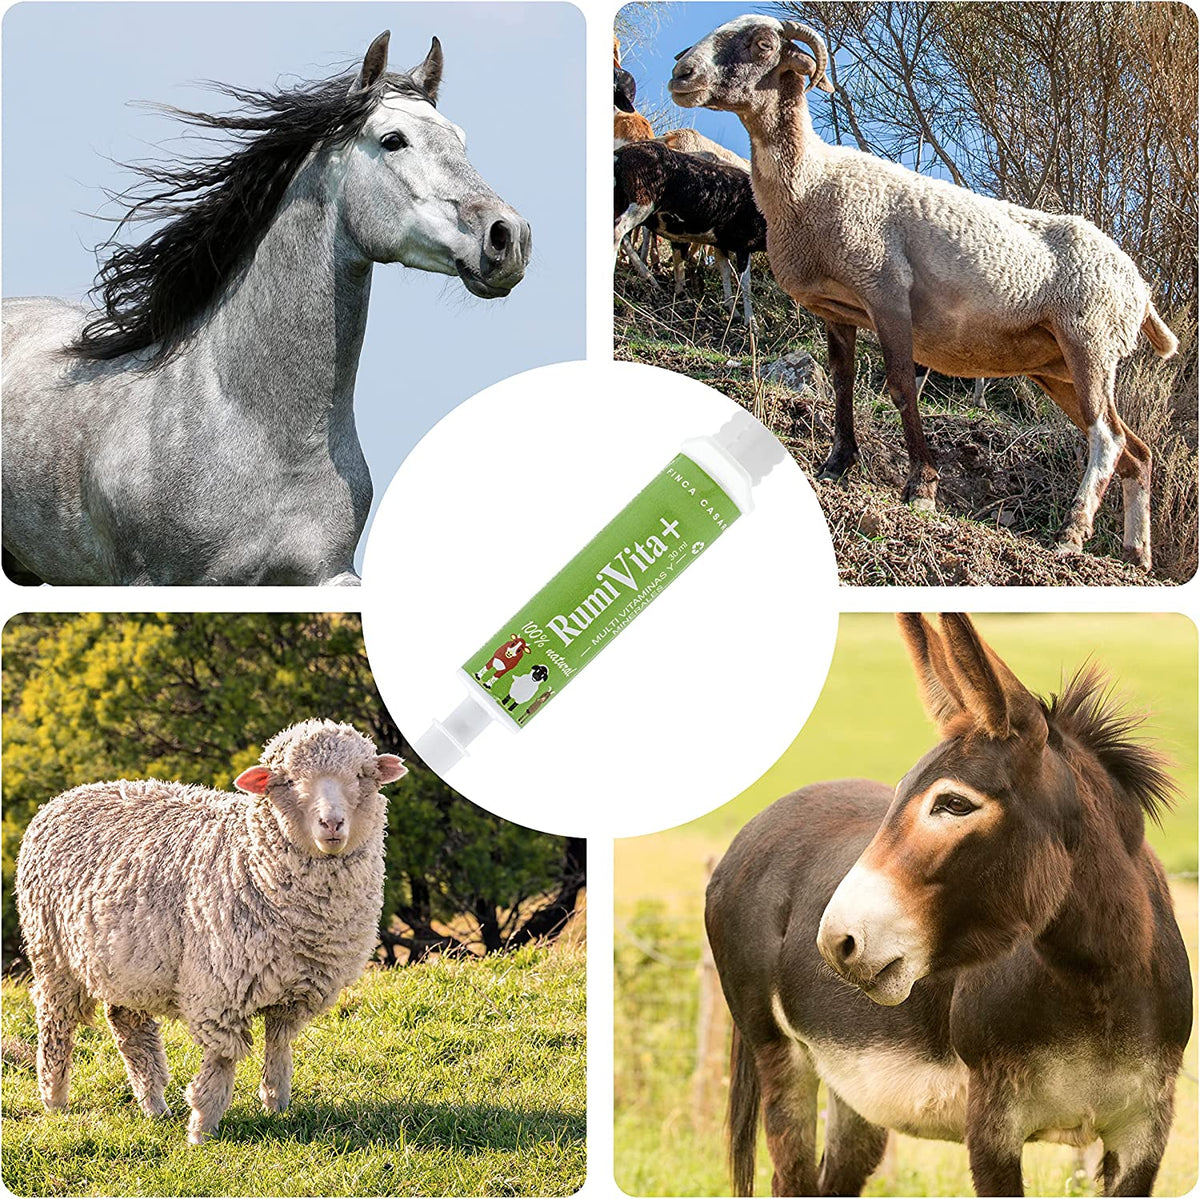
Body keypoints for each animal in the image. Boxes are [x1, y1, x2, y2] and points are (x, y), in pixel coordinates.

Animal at [15, 719, 407, 1144]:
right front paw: (203, 1128)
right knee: (56, 1022)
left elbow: (279, 1044)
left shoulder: (296, 989)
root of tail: (66, 796)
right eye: (287, 780)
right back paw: (55, 1099)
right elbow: (222, 1060)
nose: (331, 824)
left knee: (129, 1027)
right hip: (51, 953)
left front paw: (276, 1103)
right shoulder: (219, 989)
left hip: (126, 961)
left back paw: (154, 1104)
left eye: (362, 776)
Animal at [614, 140, 766, 328]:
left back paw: (651, 278)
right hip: (642, 200)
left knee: (623, 236)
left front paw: (732, 311)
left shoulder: (720, 243)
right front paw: (751, 323)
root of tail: (619, 155)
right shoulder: (743, 243)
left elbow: (724, 272)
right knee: (619, 231)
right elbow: (745, 283)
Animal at [670, 16, 1178, 570]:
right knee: (1136, 451)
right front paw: (837, 463)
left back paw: (1072, 531)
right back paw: (1137, 552)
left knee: (1107, 438)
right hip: (1057, 367)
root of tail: (1141, 289)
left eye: (763, 45)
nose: (681, 74)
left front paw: (921, 487)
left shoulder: (886, 290)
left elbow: (898, 387)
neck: (811, 179)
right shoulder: (835, 309)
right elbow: (842, 381)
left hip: (1090, 338)